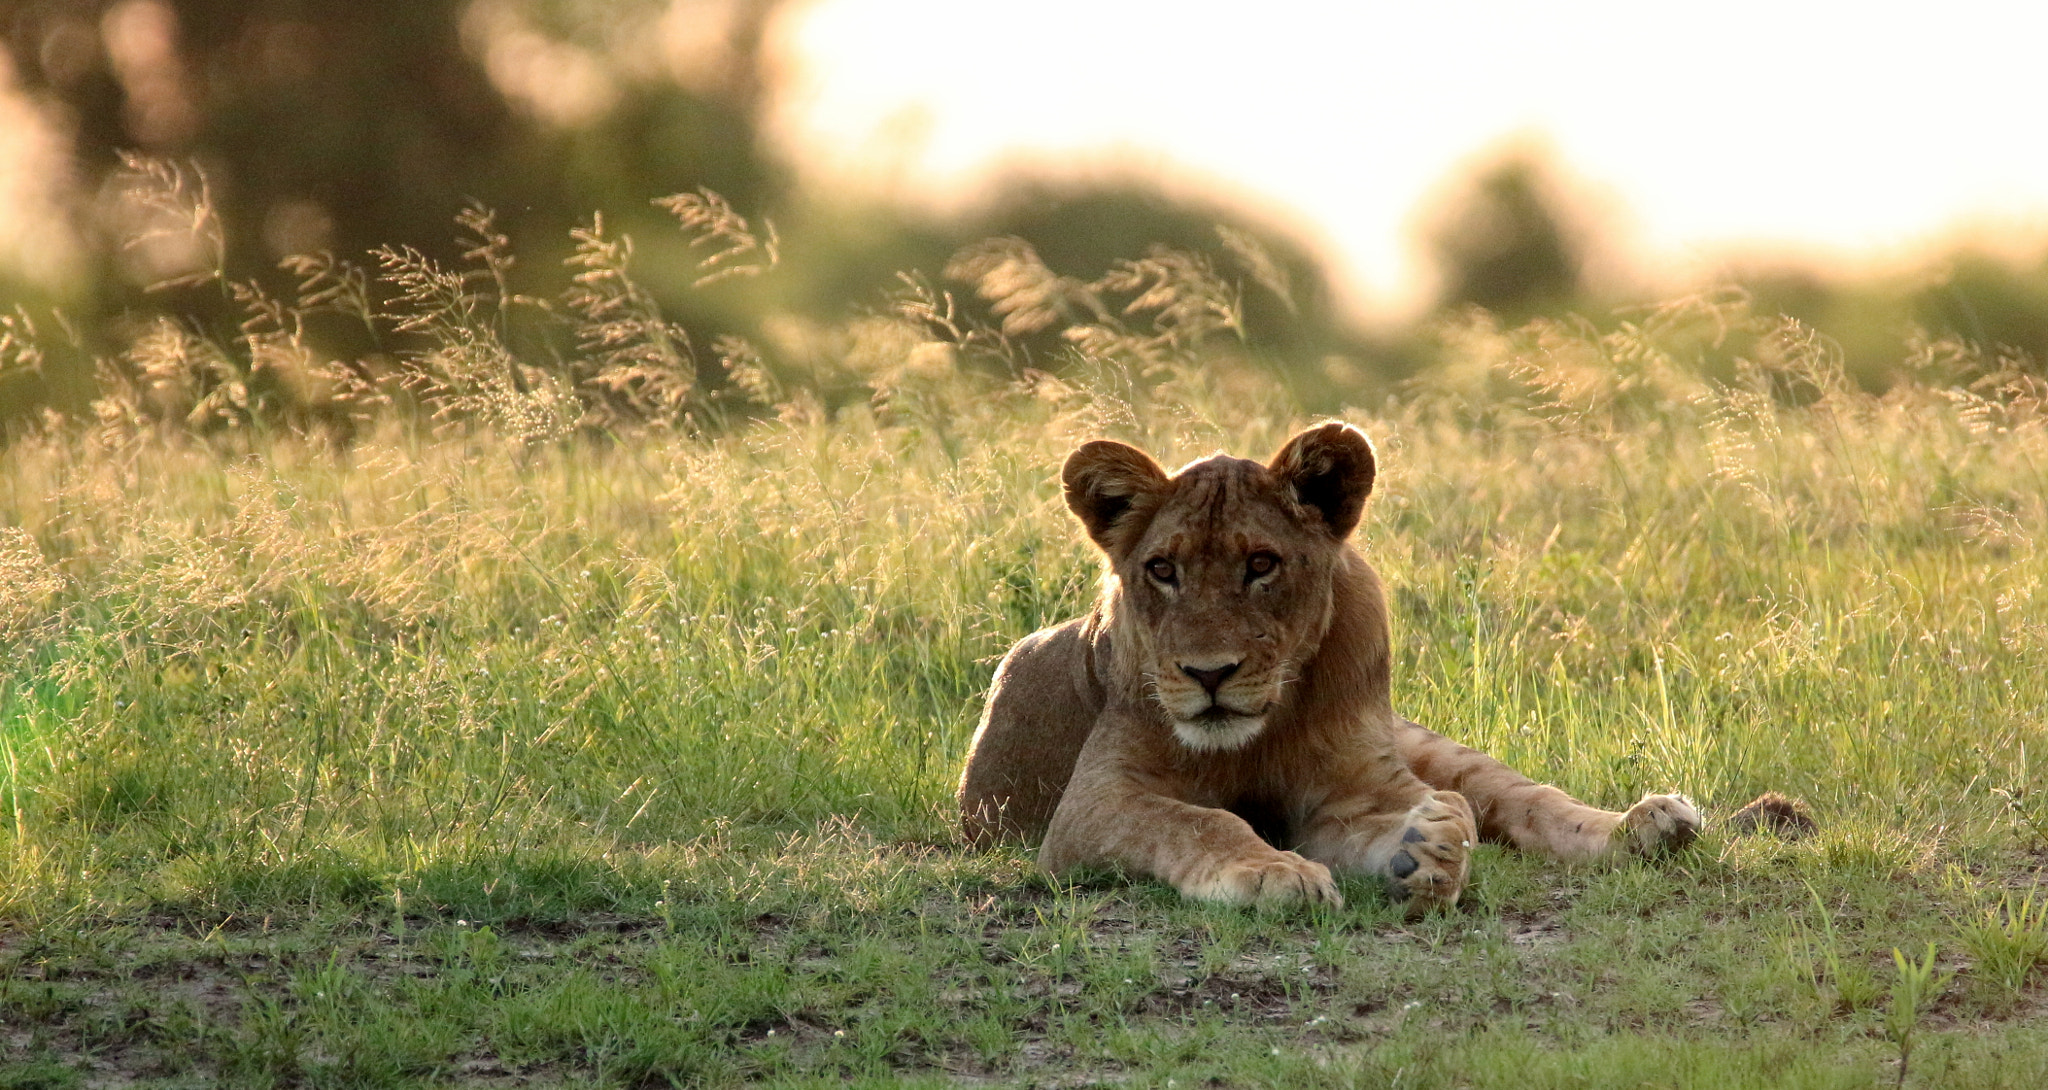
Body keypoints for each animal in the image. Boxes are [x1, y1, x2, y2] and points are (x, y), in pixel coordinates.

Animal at [957, 422, 1702, 914]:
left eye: (1261, 564)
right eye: (1162, 570)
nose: (1209, 674)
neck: (1261, 730)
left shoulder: (1352, 795)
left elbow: (1450, 815)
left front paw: (1430, 850)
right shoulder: (1093, 804)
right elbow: (1195, 821)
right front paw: (1274, 873)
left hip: (1433, 747)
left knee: (1525, 797)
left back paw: (1652, 825)